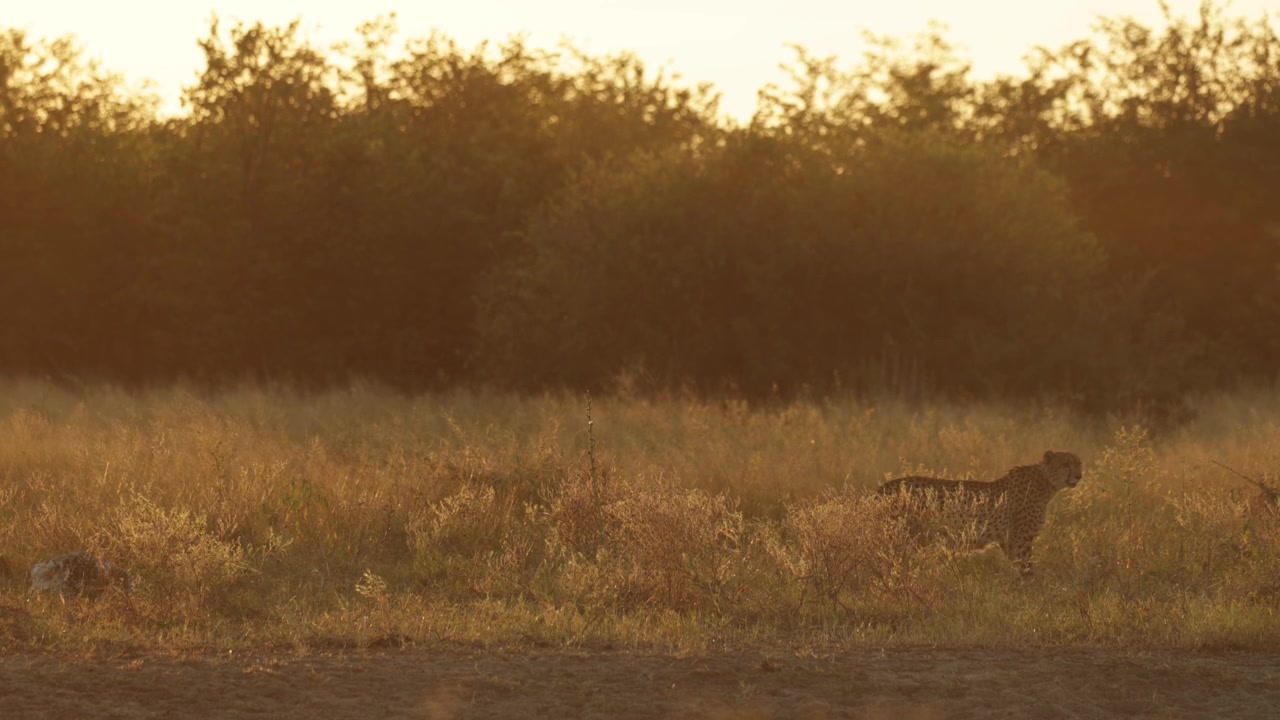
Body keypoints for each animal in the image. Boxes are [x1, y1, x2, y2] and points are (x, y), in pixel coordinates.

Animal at [876, 450, 1083, 576]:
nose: (1080, 475)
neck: (1046, 482)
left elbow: (1018, 568)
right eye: (1066, 464)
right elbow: (1026, 568)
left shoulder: (1008, 541)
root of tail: (883, 487)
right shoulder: (1021, 539)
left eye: (1079, 463)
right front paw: (1035, 592)